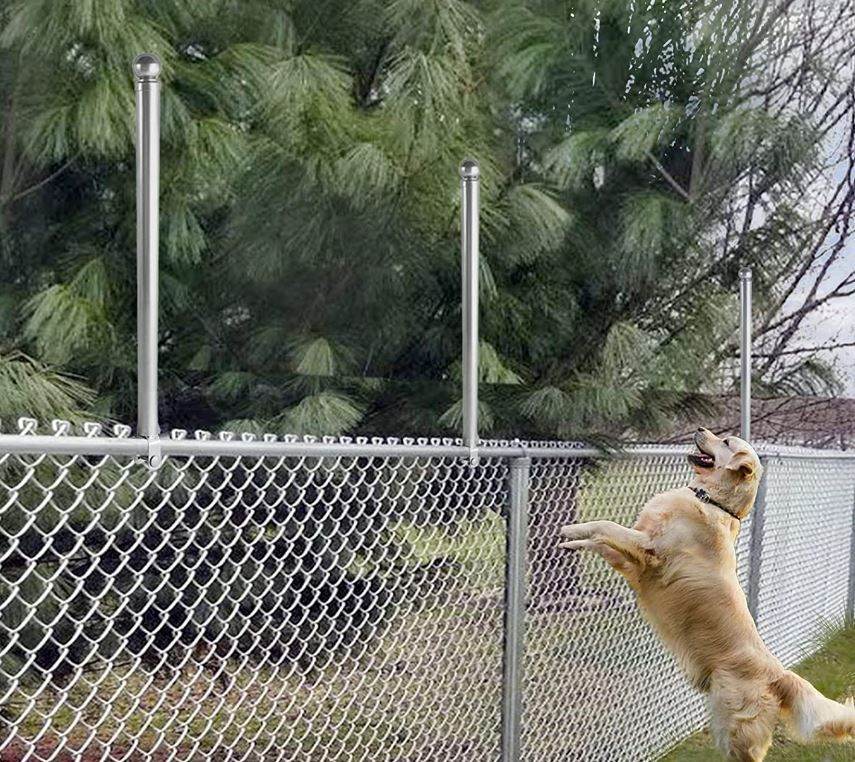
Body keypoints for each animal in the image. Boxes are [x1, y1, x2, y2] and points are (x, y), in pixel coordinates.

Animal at [560, 428, 855, 760]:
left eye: (725, 442)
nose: (700, 429)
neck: (711, 500)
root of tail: (778, 675)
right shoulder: (634, 562)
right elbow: (600, 540)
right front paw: (572, 543)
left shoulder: (649, 550)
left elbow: (605, 526)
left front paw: (570, 530)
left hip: (735, 730)